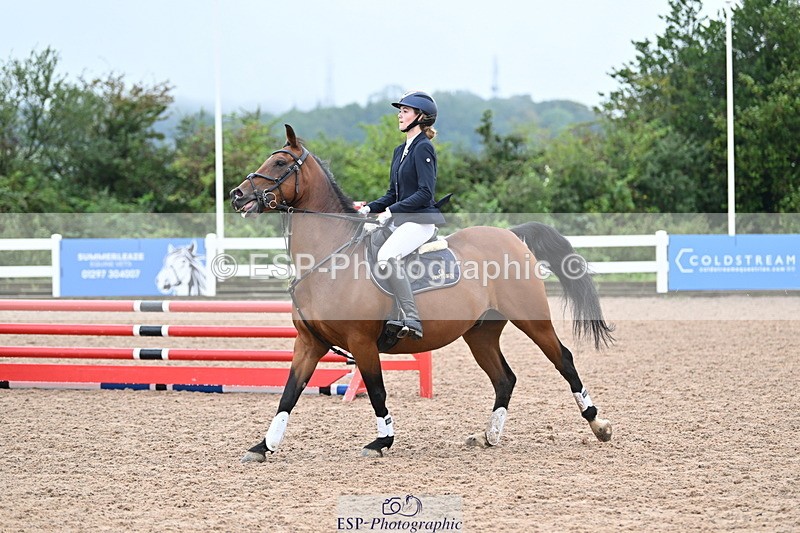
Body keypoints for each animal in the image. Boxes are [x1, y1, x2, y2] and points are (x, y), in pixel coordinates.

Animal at [230, 124, 614, 462]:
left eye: (280, 163)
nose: (237, 195)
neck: (330, 257)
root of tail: (511, 234)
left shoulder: (361, 342)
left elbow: (377, 391)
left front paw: (382, 441)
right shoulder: (309, 343)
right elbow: (288, 394)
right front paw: (263, 446)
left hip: (531, 319)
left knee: (563, 360)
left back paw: (599, 424)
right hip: (481, 333)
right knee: (505, 378)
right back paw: (489, 435)